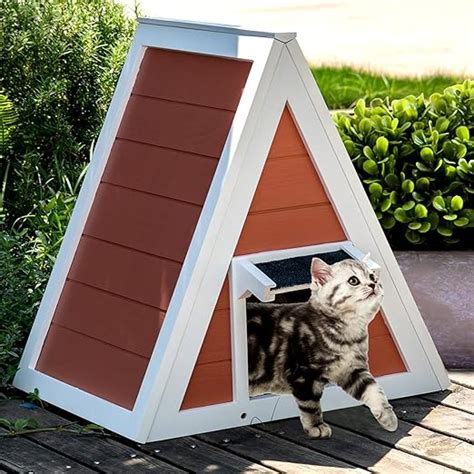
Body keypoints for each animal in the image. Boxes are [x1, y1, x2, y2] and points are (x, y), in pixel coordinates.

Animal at [246, 258, 398, 438]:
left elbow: (374, 390)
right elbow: (310, 405)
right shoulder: (303, 374)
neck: (349, 332)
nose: (373, 284)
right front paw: (315, 425)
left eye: (372, 276)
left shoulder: (352, 370)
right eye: (353, 280)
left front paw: (388, 416)